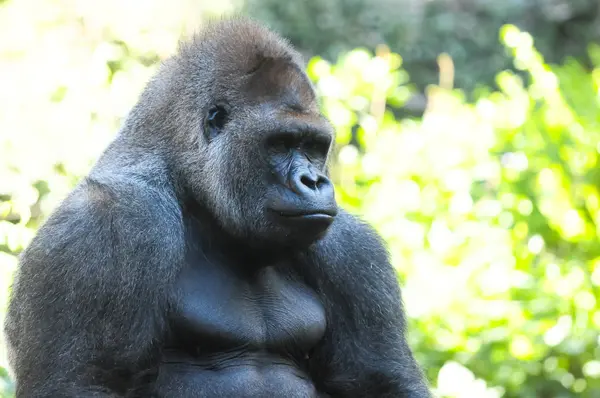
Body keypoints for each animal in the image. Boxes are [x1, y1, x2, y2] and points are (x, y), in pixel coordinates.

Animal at [3, 17, 432, 396]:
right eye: (281, 143)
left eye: (313, 146)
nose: (313, 181)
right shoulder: (108, 224)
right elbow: (86, 380)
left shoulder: (354, 252)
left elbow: (381, 383)